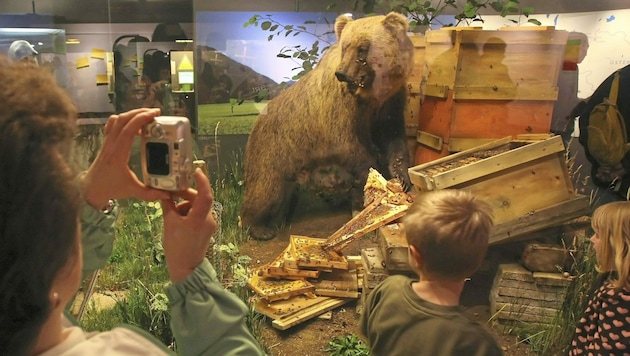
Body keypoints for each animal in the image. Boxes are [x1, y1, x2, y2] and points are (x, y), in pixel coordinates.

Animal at [241, 11, 414, 239]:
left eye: (362, 48)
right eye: (345, 46)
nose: (343, 73)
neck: (370, 95)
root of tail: (257, 122)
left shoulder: (389, 103)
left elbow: (393, 136)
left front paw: (401, 177)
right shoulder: (338, 110)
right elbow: (347, 146)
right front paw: (372, 176)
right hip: (274, 149)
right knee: (266, 188)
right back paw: (260, 228)